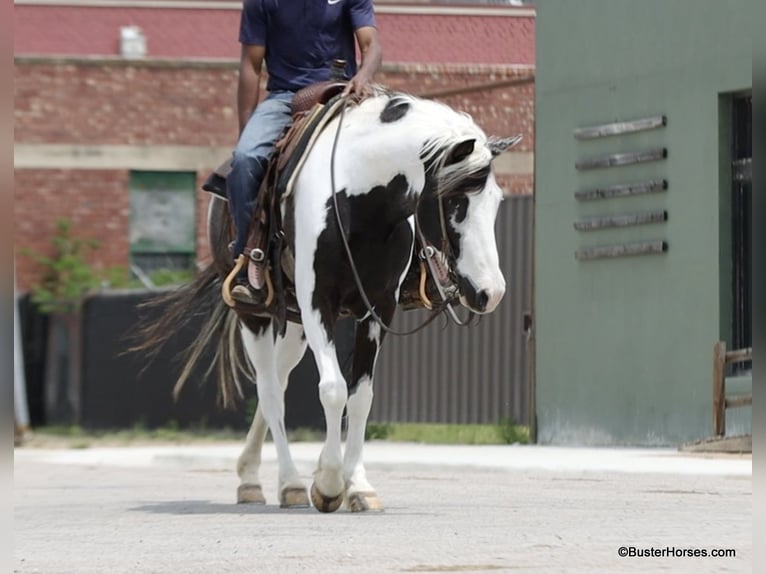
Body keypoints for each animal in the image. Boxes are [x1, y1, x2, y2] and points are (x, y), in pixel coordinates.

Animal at [138, 88, 520, 513]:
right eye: (455, 203)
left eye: (496, 201)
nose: (491, 292)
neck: (361, 198)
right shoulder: (317, 300)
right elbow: (334, 389)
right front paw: (329, 483)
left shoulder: (378, 309)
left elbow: (361, 396)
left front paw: (357, 485)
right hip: (254, 315)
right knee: (270, 392)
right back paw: (287, 483)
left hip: (294, 325)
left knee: (279, 382)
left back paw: (252, 475)